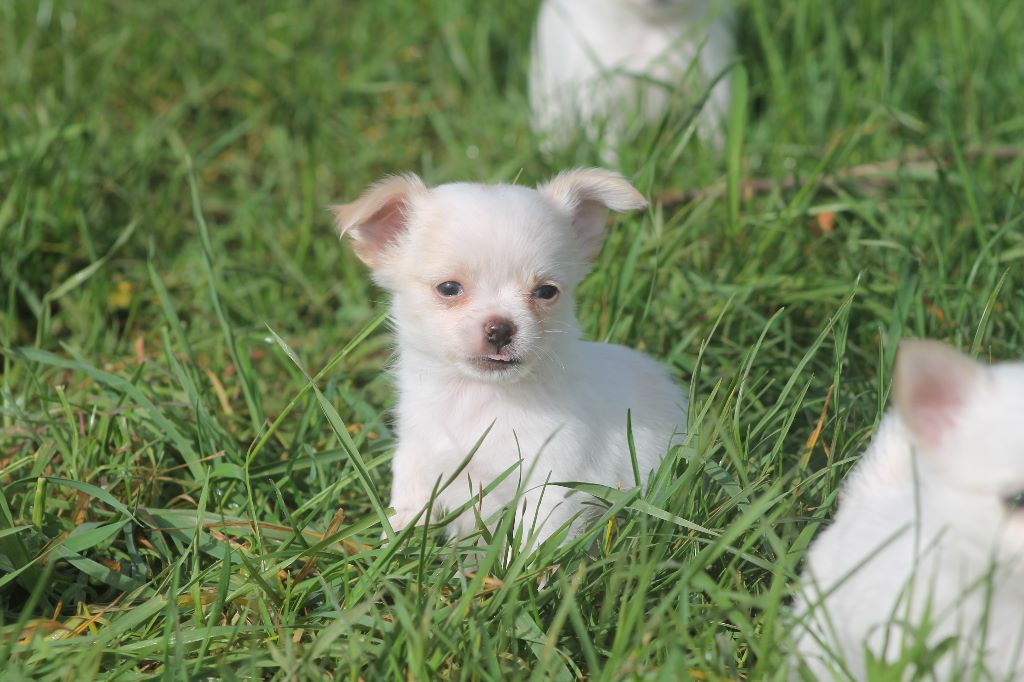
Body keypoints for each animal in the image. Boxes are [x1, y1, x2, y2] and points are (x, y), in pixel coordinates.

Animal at [332, 168, 687, 547]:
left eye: (546, 292)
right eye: (449, 288)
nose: (500, 329)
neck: (476, 399)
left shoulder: (552, 482)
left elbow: (535, 541)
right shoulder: (417, 454)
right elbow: (409, 501)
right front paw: (397, 541)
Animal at [529, 0, 736, 162]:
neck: (647, 23)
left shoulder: (709, 73)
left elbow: (710, 120)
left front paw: (715, 155)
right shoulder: (602, 92)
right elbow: (607, 138)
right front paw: (611, 166)